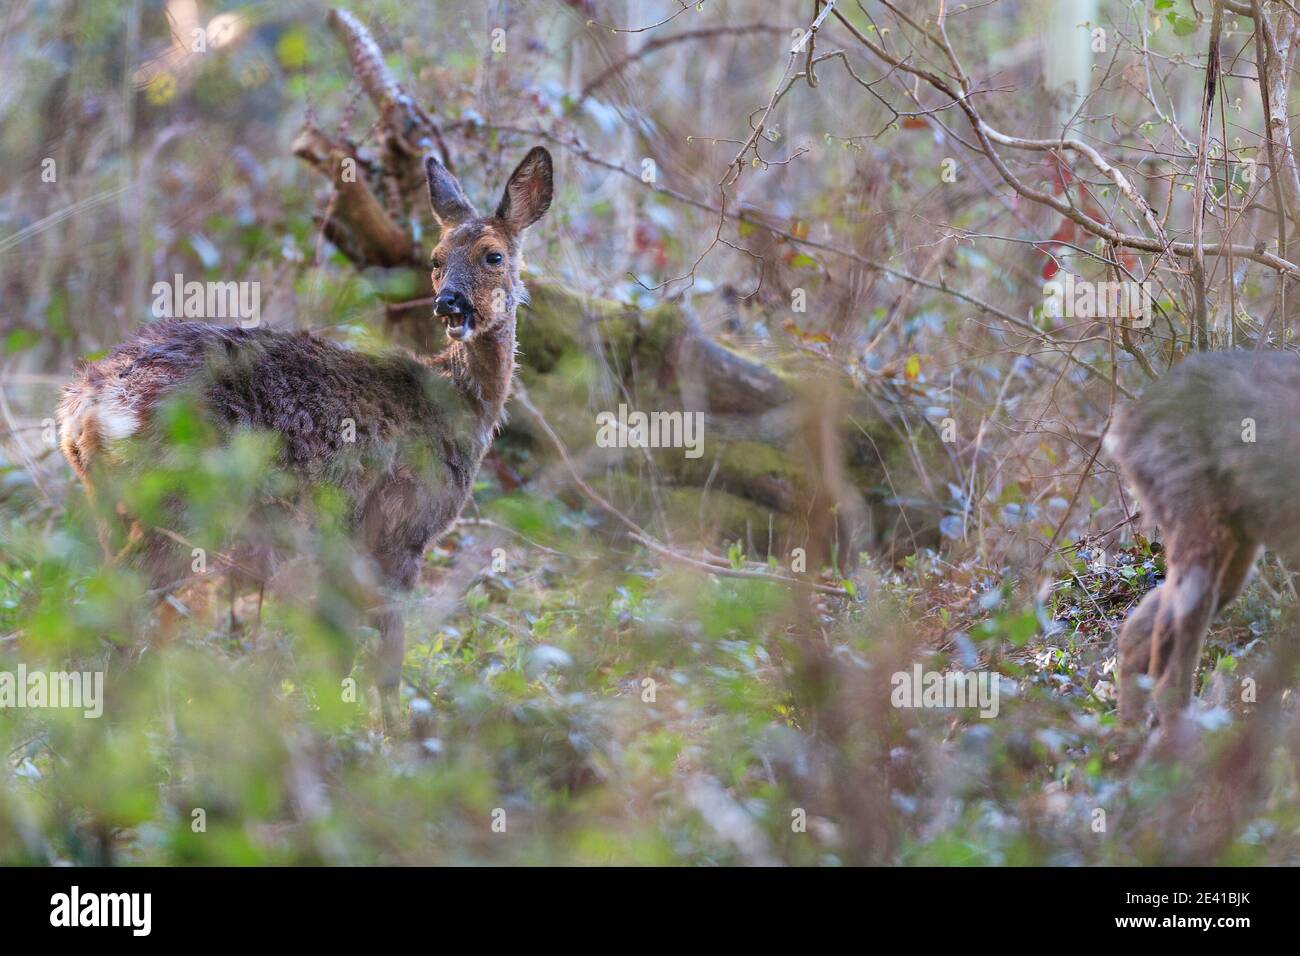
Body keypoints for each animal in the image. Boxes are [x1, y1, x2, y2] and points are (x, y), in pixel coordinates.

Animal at [54, 143, 553, 723]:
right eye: (434, 258)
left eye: (493, 256)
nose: (449, 303)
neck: (458, 403)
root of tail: (82, 407)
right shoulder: (403, 526)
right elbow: (386, 653)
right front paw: (392, 734)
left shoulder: (349, 538)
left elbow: (336, 646)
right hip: (177, 504)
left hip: (110, 506)